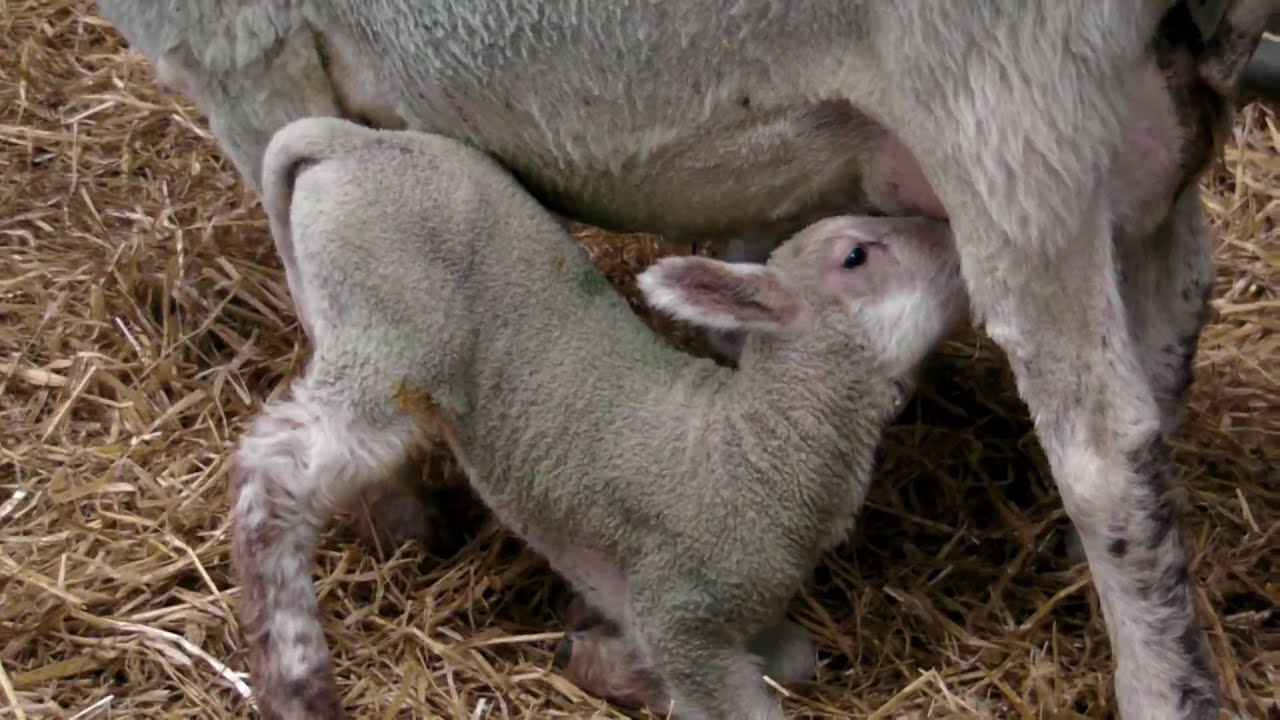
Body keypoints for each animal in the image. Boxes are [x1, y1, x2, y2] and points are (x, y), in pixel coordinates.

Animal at [232, 115, 966, 720]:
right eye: (856, 255)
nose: (955, 243)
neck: (752, 447)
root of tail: (352, 144)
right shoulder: (682, 615)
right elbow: (733, 702)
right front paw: (614, 665)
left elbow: (796, 661)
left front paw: (596, 647)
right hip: (388, 334)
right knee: (274, 472)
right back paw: (296, 681)